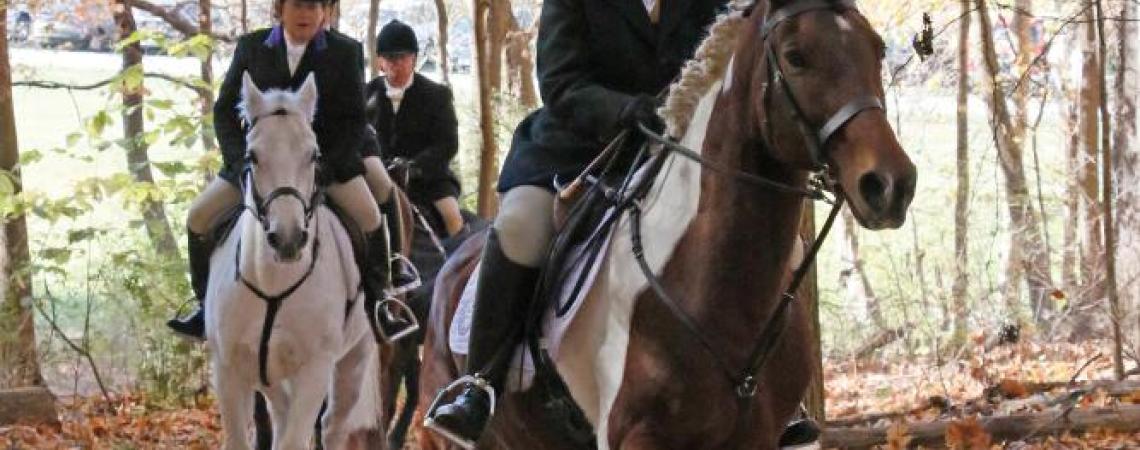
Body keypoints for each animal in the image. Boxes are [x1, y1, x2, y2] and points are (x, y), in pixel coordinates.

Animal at [206, 72, 383, 448]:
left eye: (313, 155)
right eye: (252, 156)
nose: (287, 239)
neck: (273, 281)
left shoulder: (315, 370)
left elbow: (295, 439)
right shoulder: (228, 370)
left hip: (355, 356)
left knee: (333, 425)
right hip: (269, 373)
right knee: (283, 412)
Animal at [419, 0, 916, 446]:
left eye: (877, 49)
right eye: (796, 56)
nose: (891, 184)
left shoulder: (754, 436)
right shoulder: (638, 436)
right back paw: (464, 404)